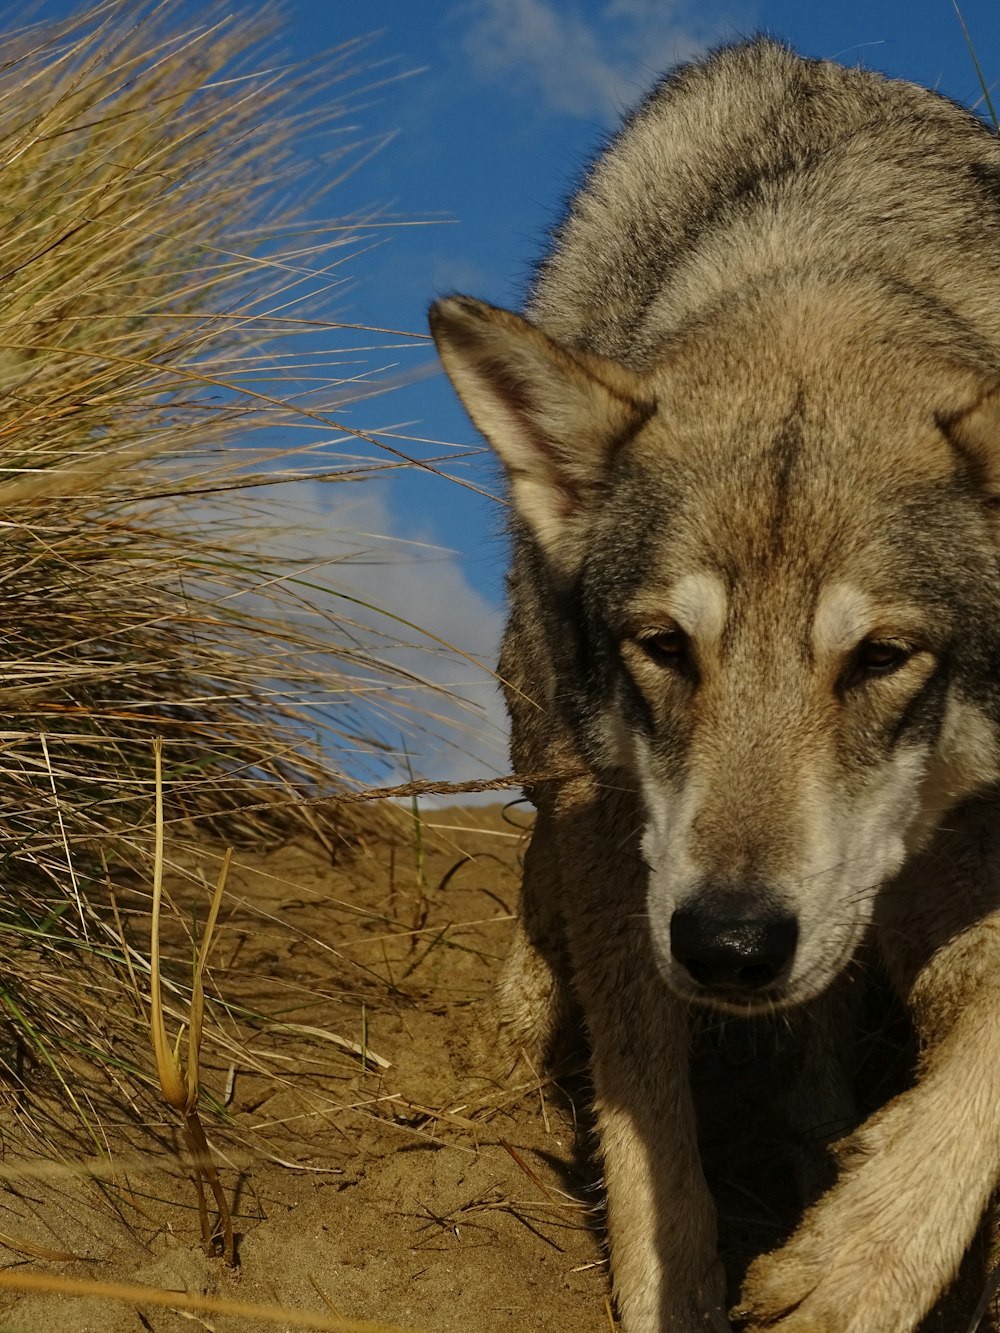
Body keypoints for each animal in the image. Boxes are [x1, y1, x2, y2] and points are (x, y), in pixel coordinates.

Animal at [432, 36, 1000, 1333]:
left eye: (880, 657)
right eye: (663, 646)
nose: (729, 947)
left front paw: (860, 1256)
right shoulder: (612, 821)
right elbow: (645, 1109)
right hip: (546, 729)